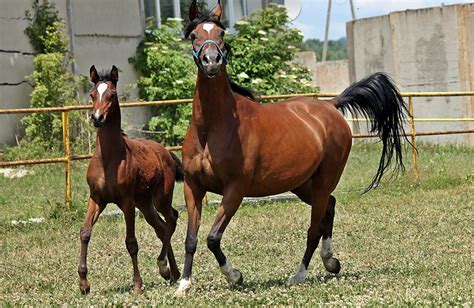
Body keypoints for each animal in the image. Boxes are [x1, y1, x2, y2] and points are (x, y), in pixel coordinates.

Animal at [77, 65, 182, 294]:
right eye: (92, 94)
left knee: (172, 219)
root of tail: (167, 153)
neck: (109, 159)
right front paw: (84, 283)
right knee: (161, 228)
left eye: (112, 95)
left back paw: (164, 267)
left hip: (160, 198)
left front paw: (137, 284)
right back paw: (172, 274)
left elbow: (131, 242)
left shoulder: (126, 202)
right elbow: (85, 232)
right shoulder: (96, 199)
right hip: (144, 203)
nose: (97, 118)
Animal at [176, 0, 410, 294]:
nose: (211, 61)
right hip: (302, 184)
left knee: (314, 228)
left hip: (322, 181)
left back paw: (299, 275)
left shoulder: (235, 190)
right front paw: (183, 284)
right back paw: (331, 262)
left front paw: (235, 276)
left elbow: (212, 237)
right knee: (330, 207)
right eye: (194, 35)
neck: (212, 128)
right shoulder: (193, 187)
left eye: (221, 33)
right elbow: (191, 239)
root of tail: (330, 105)